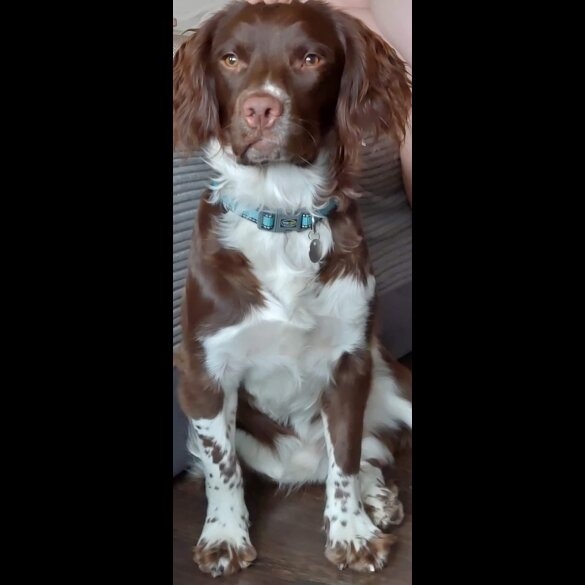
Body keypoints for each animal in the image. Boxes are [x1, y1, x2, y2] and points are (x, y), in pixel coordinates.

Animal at [172, 0, 410, 576]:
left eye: (310, 58)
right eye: (231, 59)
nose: (260, 109)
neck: (280, 216)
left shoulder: (351, 363)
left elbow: (344, 459)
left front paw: (351, 533)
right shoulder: (203, 369)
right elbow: (221, 467)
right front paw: (225, 536)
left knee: (365, 453)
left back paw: (377, 497)